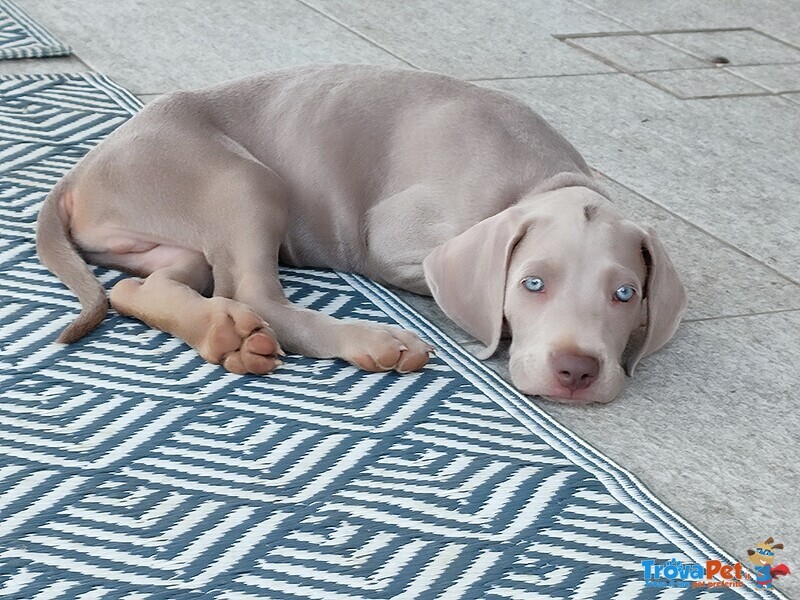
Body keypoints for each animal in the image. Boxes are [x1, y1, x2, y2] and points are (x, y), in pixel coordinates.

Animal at [37, 63, 684, 404]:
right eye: (531, 284)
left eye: (625, 295)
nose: (577, 372)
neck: (543, 179)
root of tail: (82, 171)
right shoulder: (396, 235)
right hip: (240, 179)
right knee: (252, 291)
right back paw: (365, 340)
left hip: (173, 242)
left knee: (139, 288)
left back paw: (224, 334)